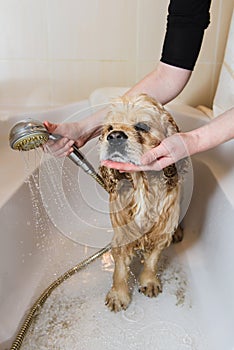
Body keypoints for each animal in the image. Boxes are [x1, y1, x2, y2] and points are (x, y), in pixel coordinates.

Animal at [98, 93, 183, 312]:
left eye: (142, 127)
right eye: (109, 128)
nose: (115, 136)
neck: (142, 185)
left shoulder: (161, 230)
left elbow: (153, 259)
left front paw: (149, 282)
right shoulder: (122, 233)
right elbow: (120, 268)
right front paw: (118, 295)